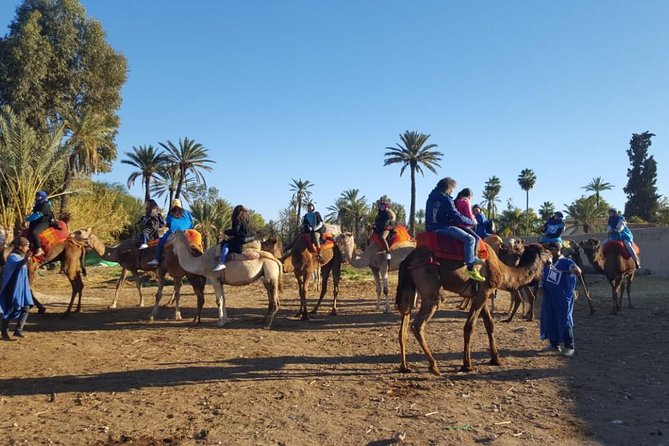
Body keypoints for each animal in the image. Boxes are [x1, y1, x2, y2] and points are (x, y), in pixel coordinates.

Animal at [396, 239, 548, 374]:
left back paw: (404, 367)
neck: (502, 268)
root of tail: (409, 259)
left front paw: (496, 359)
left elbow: (489, 324)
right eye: (545, 251)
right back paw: (433, 366)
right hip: (430, 285)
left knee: (404, 323)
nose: (552, 257)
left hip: (409, 287)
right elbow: (469, 327)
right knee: (418, 324)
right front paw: (467, 365)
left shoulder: (481, 293)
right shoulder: (484, 291)